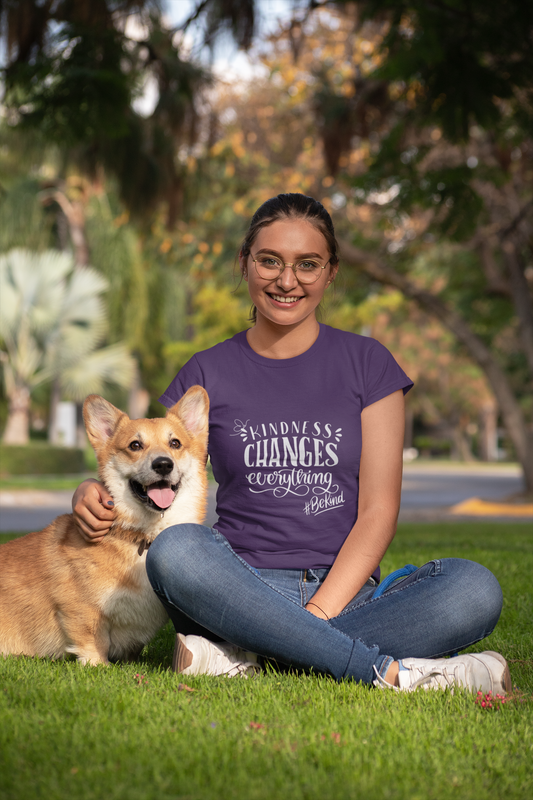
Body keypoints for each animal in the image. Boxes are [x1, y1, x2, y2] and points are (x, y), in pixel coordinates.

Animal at [0, 384, 208, 664]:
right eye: (135, 445)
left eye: (175, 443)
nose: (163, 464)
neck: (142, 536)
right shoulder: (81, 610)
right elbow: (93, 638)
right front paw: (98, 664)